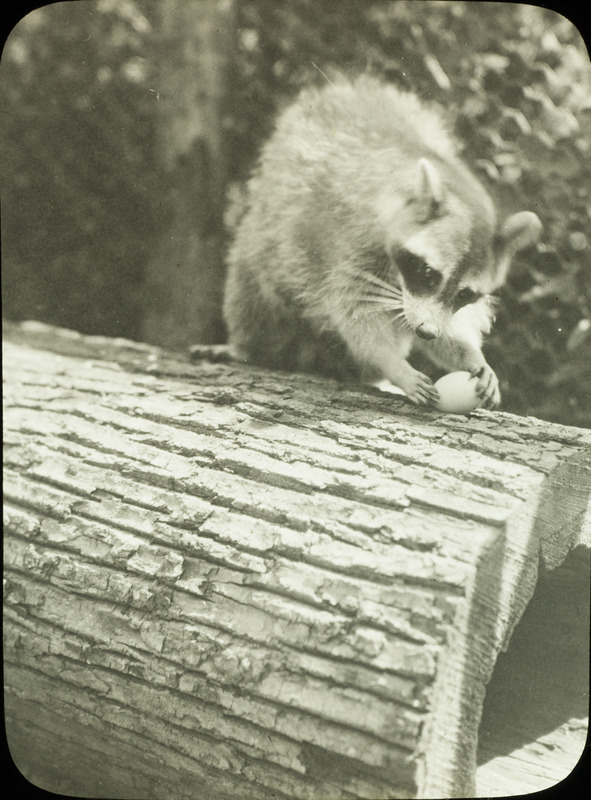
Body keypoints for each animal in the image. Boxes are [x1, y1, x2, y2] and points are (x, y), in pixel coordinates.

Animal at [224, 76, 544, 406]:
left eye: (465, 294)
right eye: (428, 273)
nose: (427, 332)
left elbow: (449, 324)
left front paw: (471, 354)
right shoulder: (351, 241)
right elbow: (353, 312)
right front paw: (391, 363)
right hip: (264, 247)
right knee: (257, 294)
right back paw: (250, 347)